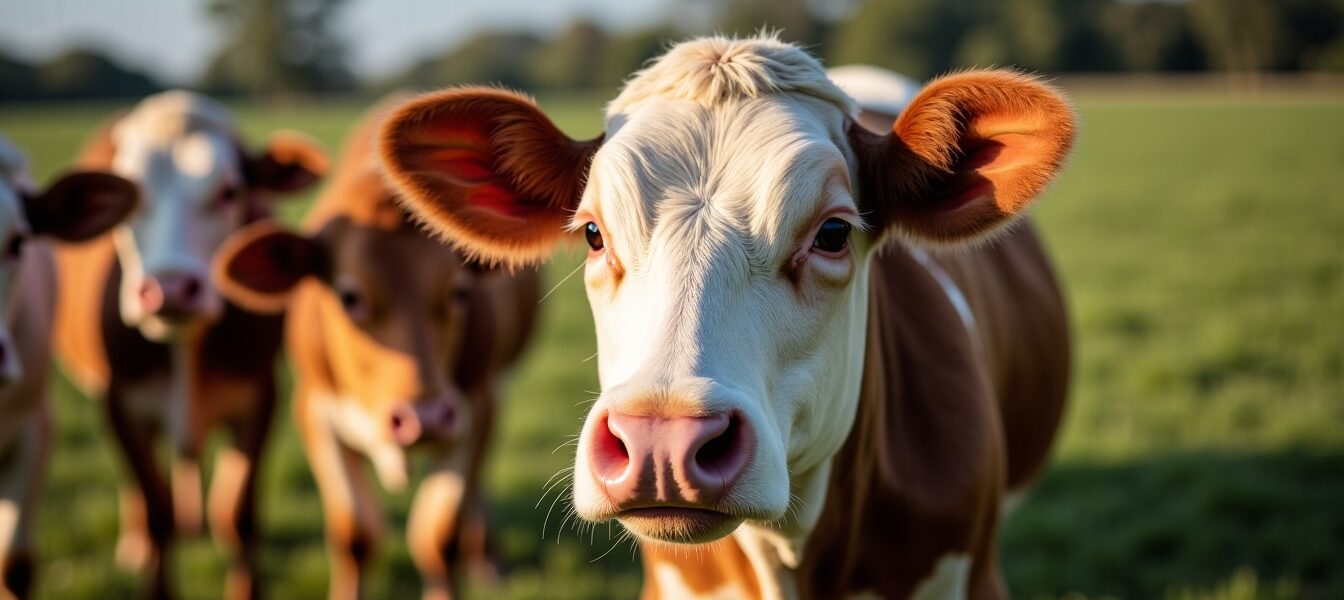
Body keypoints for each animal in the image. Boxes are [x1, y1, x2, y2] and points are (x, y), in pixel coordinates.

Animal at [50, 91, 327, 599]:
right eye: (132, 200)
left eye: (230, 192)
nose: (171, 288)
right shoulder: (119, 403)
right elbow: (157, 513)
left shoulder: (260, 398)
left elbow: (238, 517)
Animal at [210, 99, 540, 600]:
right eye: (349, 296)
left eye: (460, 291)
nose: (424, 418)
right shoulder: (315, 410)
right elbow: (356, 534)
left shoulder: (472, 407)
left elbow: (438, 535)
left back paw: (487, 557)